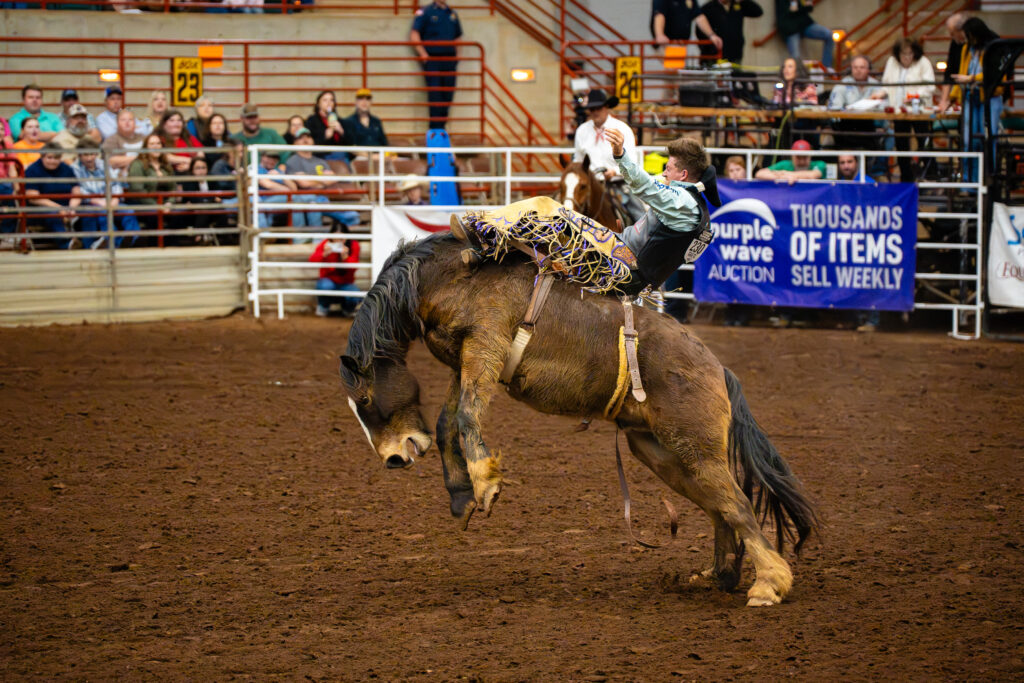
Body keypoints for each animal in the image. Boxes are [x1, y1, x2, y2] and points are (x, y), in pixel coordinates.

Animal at [339, 233, 819, 607]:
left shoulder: (485, 346)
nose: (393, 458)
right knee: (720, 505)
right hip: (660, 452)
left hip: (695, 447)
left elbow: (466, 418)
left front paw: (485, 486)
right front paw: (461, 496)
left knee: (736, 504)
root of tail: (718, 367)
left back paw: (769, 585)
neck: (450, 277)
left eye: (365, 398)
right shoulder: (465, 361)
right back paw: (720, 575)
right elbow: (447, 423)